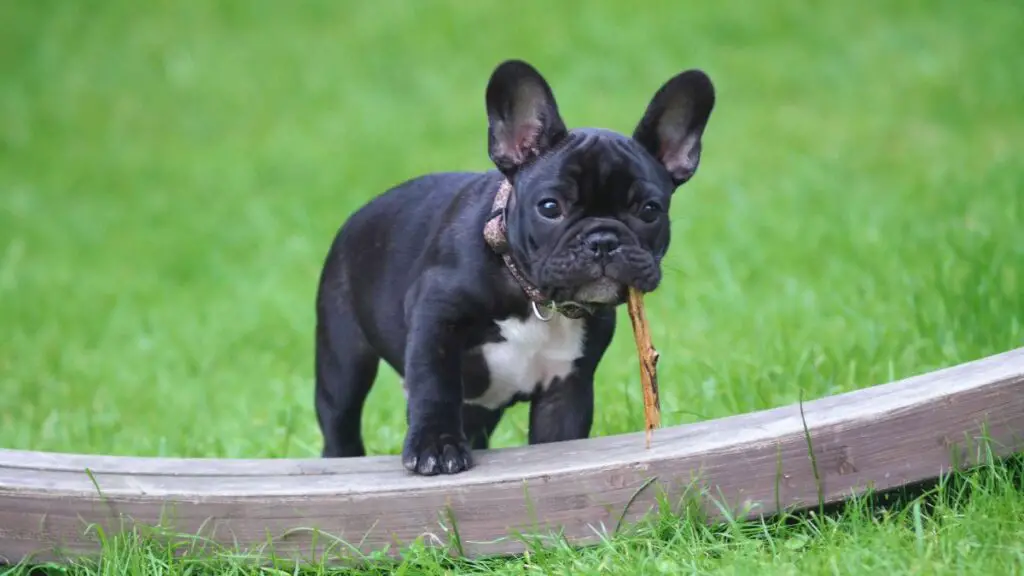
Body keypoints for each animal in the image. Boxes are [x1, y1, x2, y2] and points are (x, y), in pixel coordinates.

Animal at [315, 58, 716, 473]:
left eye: (650, 211)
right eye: (550, 207)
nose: (603, 240)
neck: (532, 295)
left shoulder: (566, 389)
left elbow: (561, 438)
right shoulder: (435, 318)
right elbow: (434, 384)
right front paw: (435, 446)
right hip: (343, 360)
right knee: (340, 419)